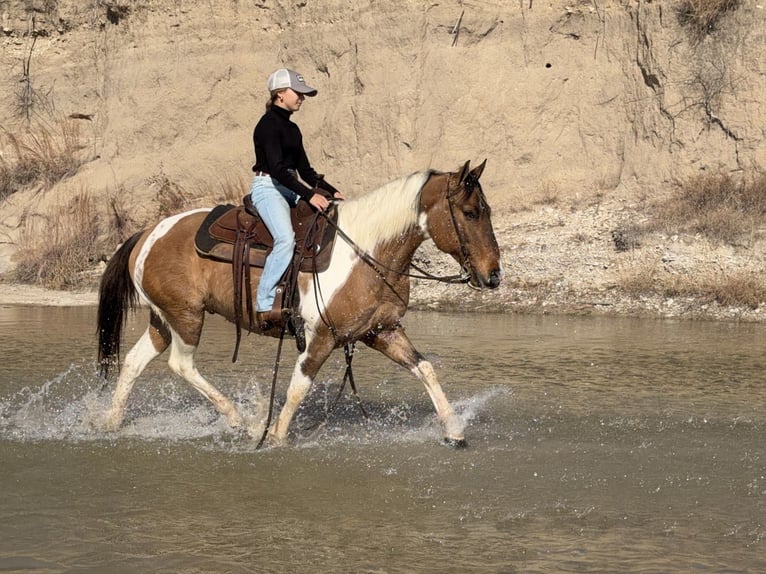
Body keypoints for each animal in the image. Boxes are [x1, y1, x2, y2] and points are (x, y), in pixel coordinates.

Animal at [96, 160, 502, 446]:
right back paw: (241, 420)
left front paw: (453, 430)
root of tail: (147, 233)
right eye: (470, 213)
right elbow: (298, 386)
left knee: (133, 362)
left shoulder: (380, 331)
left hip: (164, 319)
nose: (493, 275)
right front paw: (274, 435)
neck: (366, 250)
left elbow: (425, 368)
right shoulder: (321, 336)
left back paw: (109, 422)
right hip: (187, 316)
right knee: (180, 364)